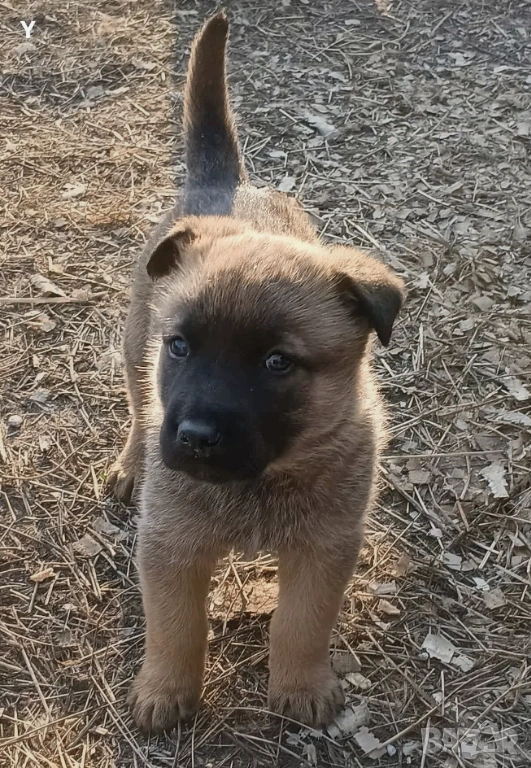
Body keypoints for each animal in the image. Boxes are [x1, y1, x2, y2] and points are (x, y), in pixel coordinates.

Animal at [108, 11, 404, 732]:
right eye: (181, 347)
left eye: (277, 363)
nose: (193, 439)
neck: (260, 481)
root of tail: (226, 187)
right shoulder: (172, 548)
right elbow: (176, 627)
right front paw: (166, 690)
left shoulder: (323, 551)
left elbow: (300, 625)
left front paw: (300, 685)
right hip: (132, 346)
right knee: (136, 406)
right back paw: (131, 462)